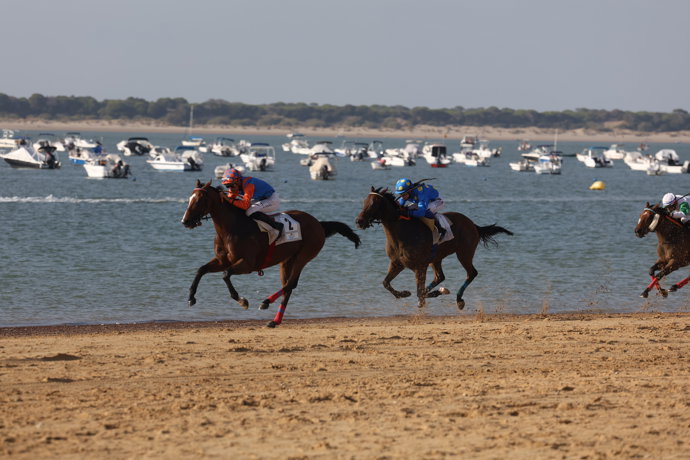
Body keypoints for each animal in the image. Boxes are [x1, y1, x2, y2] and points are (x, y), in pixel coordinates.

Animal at [181, 180, 361, 327]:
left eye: (199, 200)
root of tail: (318, 223)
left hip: (304, 256)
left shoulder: (247, 264)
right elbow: (201, 270)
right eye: (189, 198)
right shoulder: (222, 260)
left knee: (290, 284)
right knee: (288, 287)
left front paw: (242, 300)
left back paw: (266, 302)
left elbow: (226, 275)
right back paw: (275, 321)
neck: (232, 228)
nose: (185, 221)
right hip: (286, 261)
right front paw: (191, 298)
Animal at [355, 187, 513, 310]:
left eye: (374, 204)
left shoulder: (420, 266)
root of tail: (473, 224)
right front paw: (405, 293)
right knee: (440, 276)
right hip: (436, 258)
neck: (402, 232)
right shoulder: (397, 263)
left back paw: (459, 299)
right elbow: (386, 283)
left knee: (471, 273)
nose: (358, 221)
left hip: (464, 253)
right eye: (364, 202)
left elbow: (419, 291)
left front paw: (431, 295)